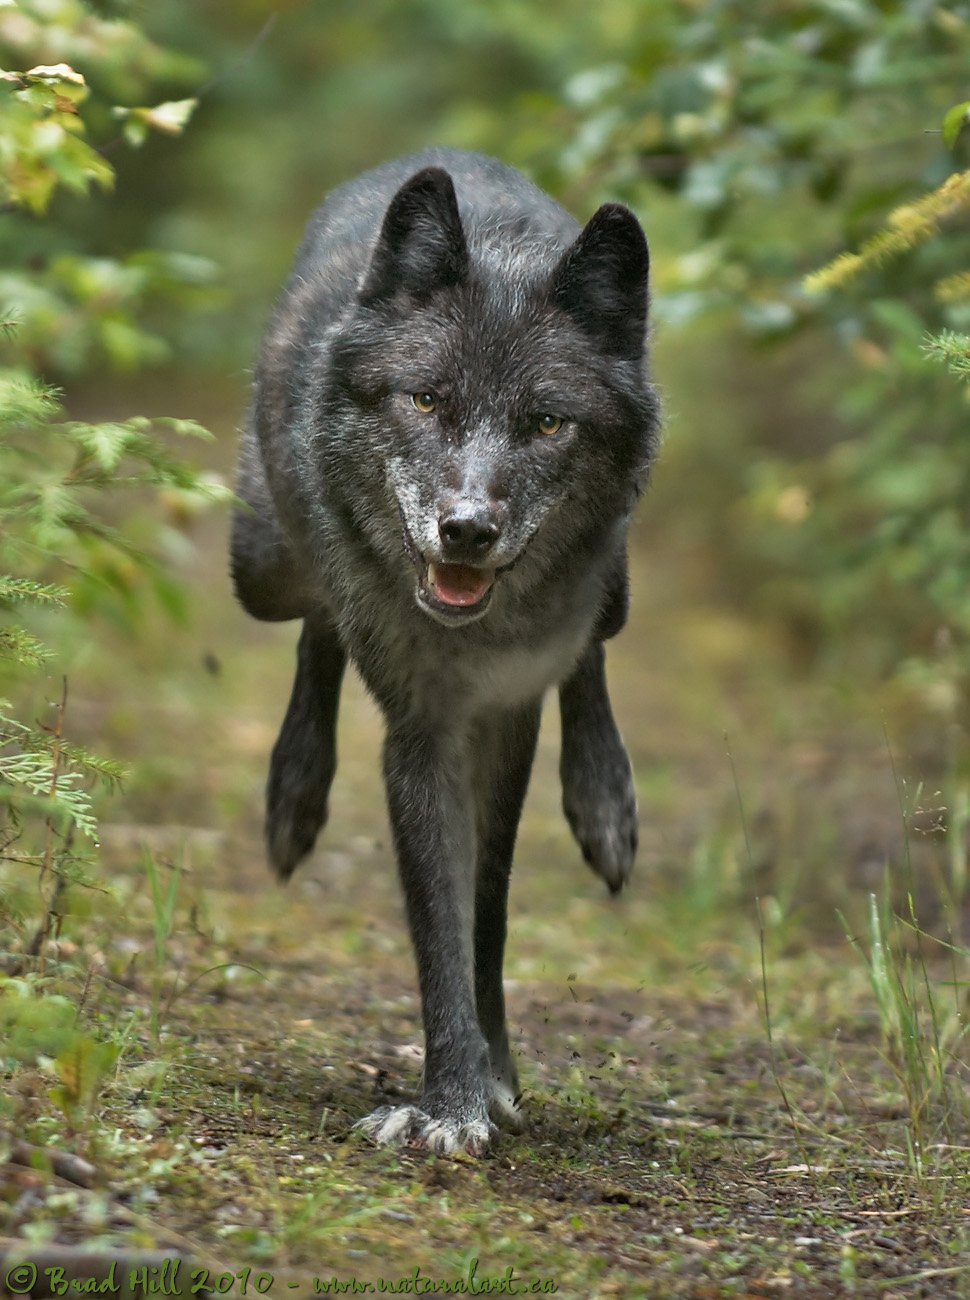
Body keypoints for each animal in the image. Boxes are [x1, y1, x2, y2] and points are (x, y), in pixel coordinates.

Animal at [230, 147, 660, 1154]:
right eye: (426, 399)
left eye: (548, 422)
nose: (466, 531)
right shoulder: (421, 731)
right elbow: (437, 919)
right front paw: (451, 1100)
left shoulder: (504, 716)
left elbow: (485, 908)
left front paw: (487, 1079)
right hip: (260, 568)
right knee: (317, 617)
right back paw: (293, 797)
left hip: (615, 587)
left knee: (592, 648)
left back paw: (605, 805)